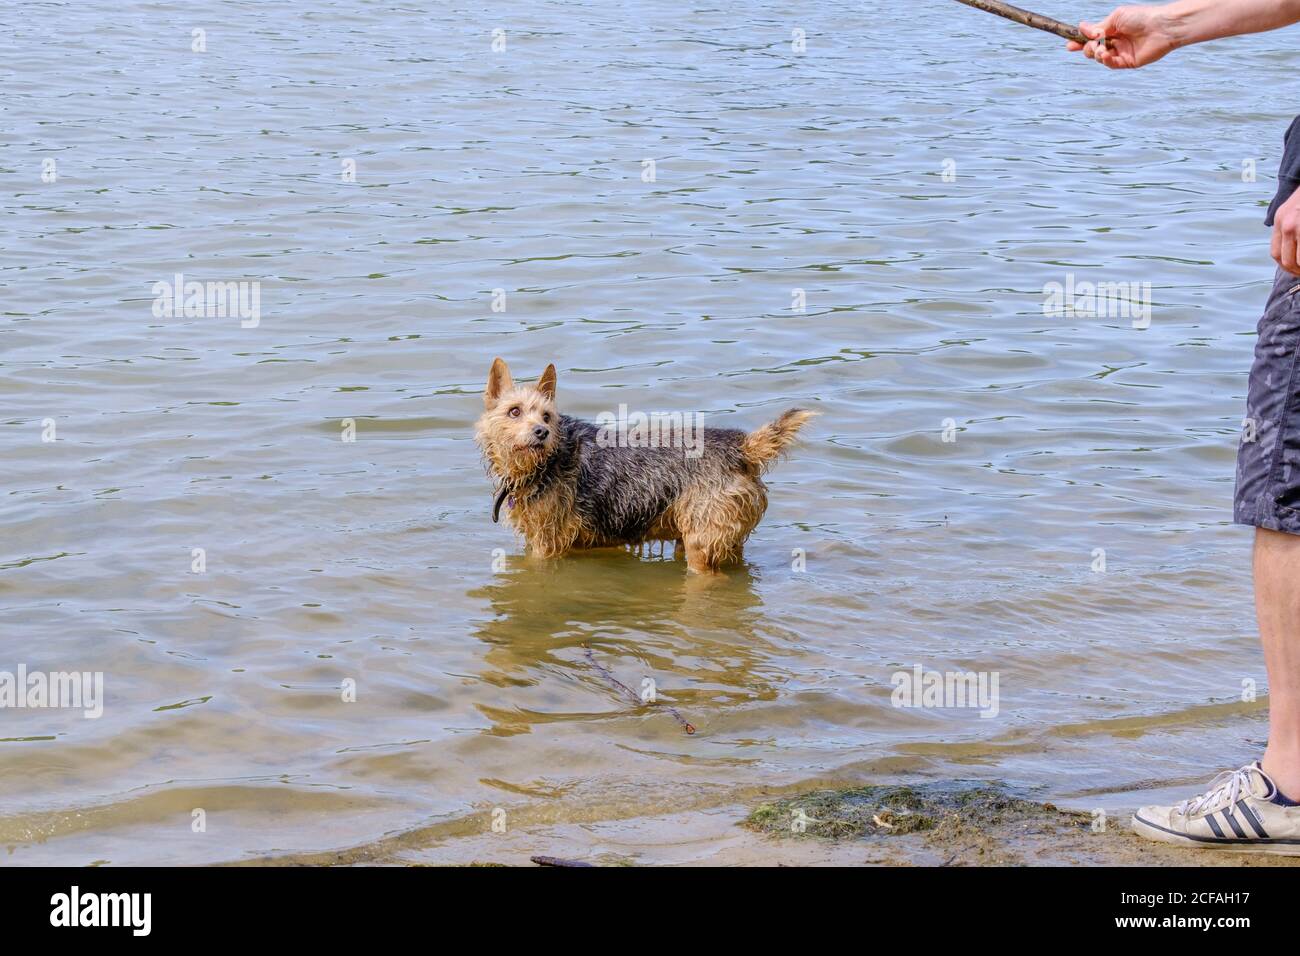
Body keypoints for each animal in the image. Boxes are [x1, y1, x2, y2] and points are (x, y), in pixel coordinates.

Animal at [467, 356, 811, 567]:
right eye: (514, 411)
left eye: (547, 416)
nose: (541, 432)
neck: (544, 464)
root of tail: (740, 446)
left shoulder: (545, 547)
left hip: (701, 542)